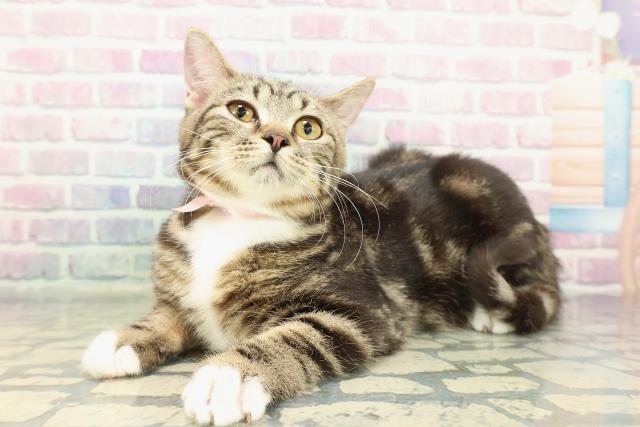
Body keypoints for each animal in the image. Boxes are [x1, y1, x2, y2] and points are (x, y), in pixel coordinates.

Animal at [82, 28, 560, 426]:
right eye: (241, 110)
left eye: (308, 127)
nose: (277, 137)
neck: (238, 218)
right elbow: (169, 314)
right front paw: (125, 339)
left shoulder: (367, 310)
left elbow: (298, 336)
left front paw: (230, 375)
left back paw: (491, 312)